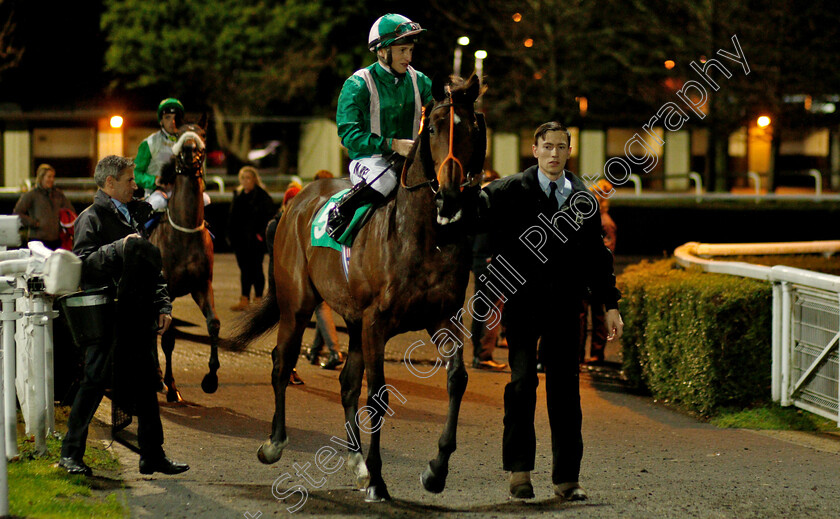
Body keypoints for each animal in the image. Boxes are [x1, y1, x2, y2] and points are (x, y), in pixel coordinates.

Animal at [149, 118, 220, 402]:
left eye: (202, 134)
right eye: (180, 133)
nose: (189, 149)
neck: (185, 231)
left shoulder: (202, 285)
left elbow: (213, 324)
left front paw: (211, 379)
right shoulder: (166, 289)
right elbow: (167, 337)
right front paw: (171, 386)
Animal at [235, 76, 486, 504]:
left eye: (472, 126)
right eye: (434, 127)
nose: (451, 194)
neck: (420, 236)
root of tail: (295, 203)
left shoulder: (441, 318)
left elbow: (456, 378)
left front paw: (435, 471)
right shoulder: (377, 324)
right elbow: (378, 396)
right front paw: (379, 480)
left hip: (352, 320)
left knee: (347, 384)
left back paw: (357, 463)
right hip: (297, 304)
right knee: (282, 362)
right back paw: (274, 444)